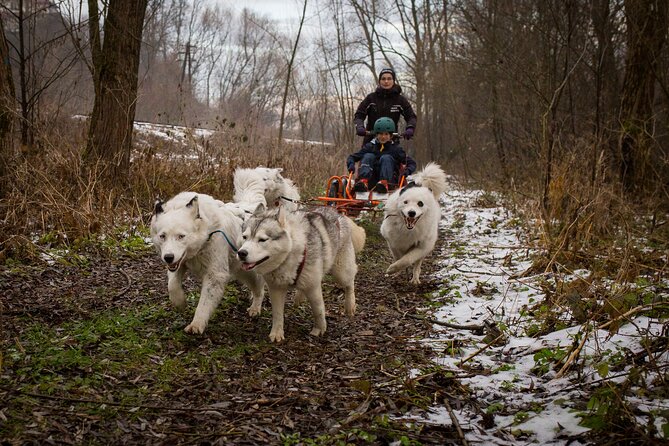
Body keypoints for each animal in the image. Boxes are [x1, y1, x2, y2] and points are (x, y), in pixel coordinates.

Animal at [150, 193, 264, 332]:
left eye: (181, 236)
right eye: (162, 236)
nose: (168, 257)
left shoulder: (215, 275)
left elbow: (204, 303)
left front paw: (197, 324)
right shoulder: (178, 264)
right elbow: (172, 285)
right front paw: (180, 302)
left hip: (251, 273)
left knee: (260, 289)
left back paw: (255, 308)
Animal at [236, 206, 366, 342]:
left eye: (262, 240)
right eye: (245, 237)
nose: (241, 253)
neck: (290, 254)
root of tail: (338, 214)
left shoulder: (313, 287)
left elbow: (318, 310)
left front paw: (319, 328)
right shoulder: (276, 289)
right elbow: (277, 313)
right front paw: (277, 332)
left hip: (341, 272)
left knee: (349, 283)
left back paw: (350, 305)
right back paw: (299, 297)